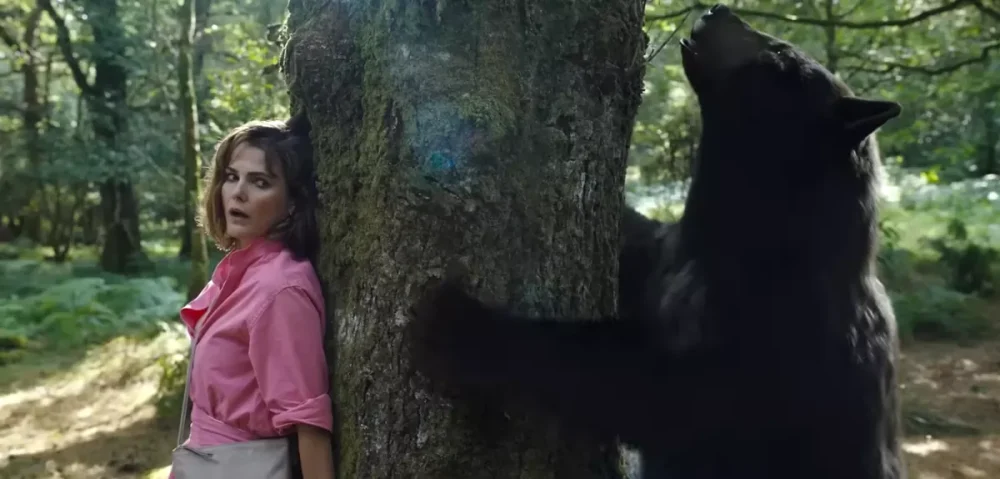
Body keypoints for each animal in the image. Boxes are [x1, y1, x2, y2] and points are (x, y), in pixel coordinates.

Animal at [405, 4, 906, 479]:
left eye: (780, 56)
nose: (718, 10)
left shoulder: (776, 342)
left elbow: (649, 390)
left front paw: (463, 327)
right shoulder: (670, 255)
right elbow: (636, 245)